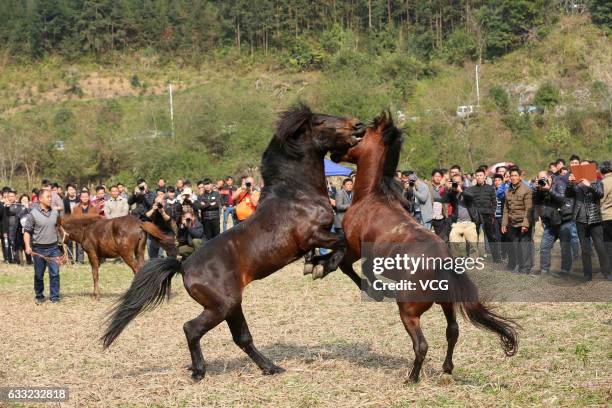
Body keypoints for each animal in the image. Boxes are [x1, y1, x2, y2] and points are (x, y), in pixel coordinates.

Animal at [100, 104, 364, 380]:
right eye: (320, 122)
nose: (358, 126)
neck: (296, 194)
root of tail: (183, 266)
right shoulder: (314, 234)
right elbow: (343, 243)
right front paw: (324, 268)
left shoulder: (313, 240)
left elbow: (327, 250)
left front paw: (314, 264)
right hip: (222, 306)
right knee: (191, 328)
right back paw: (200, 371)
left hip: (232, 305)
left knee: (242, 338)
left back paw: (270, 367)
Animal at [322, 114, 520, 382]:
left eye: (359, 134)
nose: (333, 153)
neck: (371, 197)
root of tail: (444, 262)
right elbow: (365, 268)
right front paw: (379, 289)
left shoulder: (354, 246)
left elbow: (348, 266)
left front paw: (375, 290)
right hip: (447, 303)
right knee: (453, 331)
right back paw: (447, 368)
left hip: (409, 312)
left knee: (422, 344)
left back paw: (412, 378)